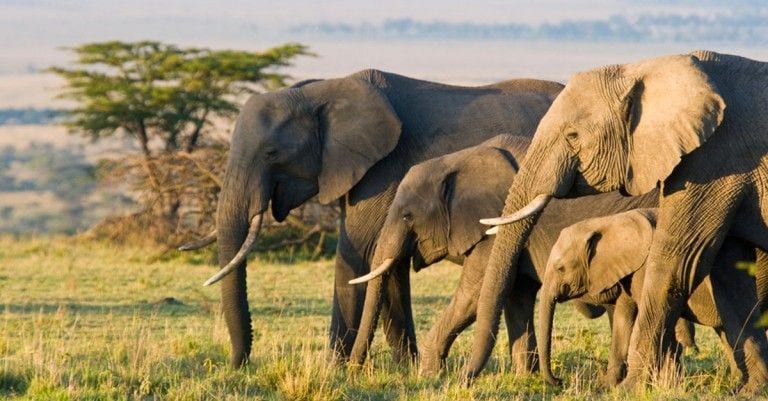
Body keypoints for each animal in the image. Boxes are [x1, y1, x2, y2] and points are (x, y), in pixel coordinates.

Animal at [180, 69, 565, 367]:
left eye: (272, 153)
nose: (238, 364)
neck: (320, 91)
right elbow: (387, 265)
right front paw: (404, 369)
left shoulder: (382, 170)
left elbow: (360, 254)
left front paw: (333, 370)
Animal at [346, 134, 666, 374]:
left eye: (407, 216)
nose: (354, 369)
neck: (458, 159)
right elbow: (516, 296)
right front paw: (526, 377)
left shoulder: (495, 227)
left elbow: (474, 296)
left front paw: (429, 375)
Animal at [538, 209, 768, 389]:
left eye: (561, 268)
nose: (559, 381)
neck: (608, 221)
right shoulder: (629, 270)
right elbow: (624, 317)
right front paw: (606, 386)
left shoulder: (647, 267)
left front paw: (667, 385)